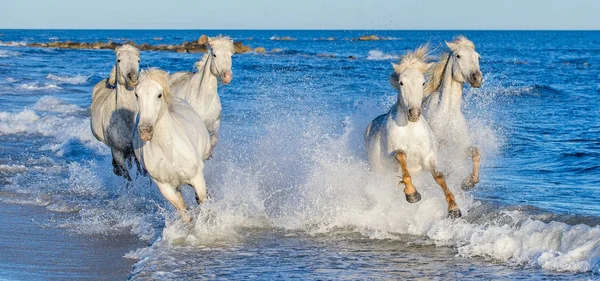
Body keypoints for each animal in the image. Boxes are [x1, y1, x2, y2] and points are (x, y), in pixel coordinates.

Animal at [133, 69, 211, 222]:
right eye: (136, 94)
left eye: (159, 95)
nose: (145, 131)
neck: (168, 150)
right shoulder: (165, 187)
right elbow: (184, 212)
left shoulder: (197, 178)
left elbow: (203, 201)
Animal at [364, 45, 462, 217]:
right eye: (401, 83)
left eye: (423, 83)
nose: (414, 113)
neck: (410, 130)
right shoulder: (391, 157)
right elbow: (402, 156)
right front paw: (412, 193)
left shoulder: (428, 158)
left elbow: (439, 176)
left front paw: (453, 207)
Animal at [426, 35, 482, 190]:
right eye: (458, 56)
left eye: (478, 57)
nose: (477, 78)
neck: (447, 115)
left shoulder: (459, 149)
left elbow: (476, 152)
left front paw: (468, 182)